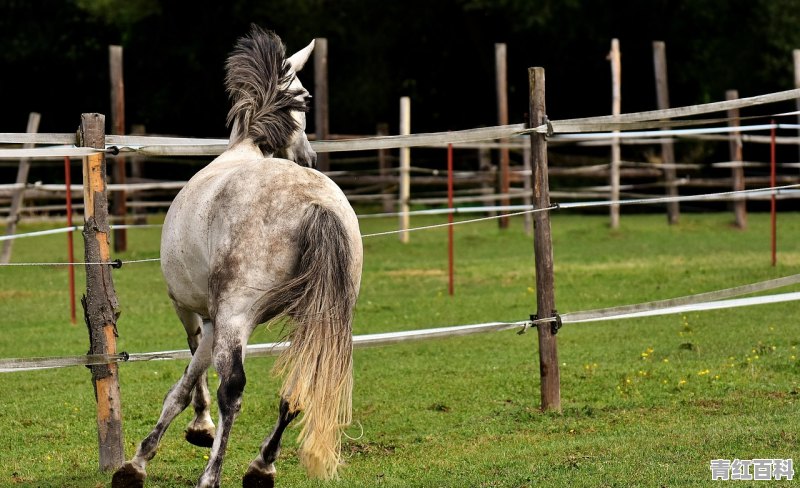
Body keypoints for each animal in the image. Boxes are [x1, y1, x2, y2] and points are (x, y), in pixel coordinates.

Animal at [112, 26, 362, 488]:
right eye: (304, 96)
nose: (310, 156)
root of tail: (315, 205)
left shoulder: (195, 312)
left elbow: (185, 383)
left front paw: (143, 459)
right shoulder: (214, 318)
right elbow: (189, 378)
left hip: (235, 317)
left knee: (233, 390)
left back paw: (212, 475)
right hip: (316, 317)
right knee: (296, 390)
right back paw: (262, 466)